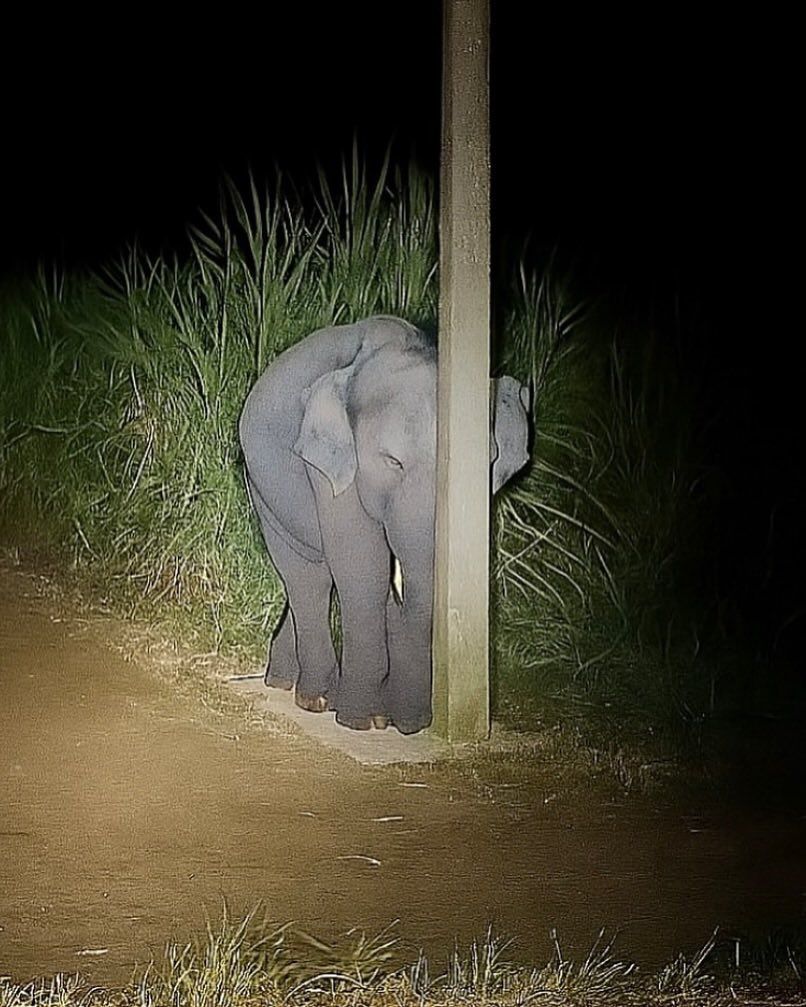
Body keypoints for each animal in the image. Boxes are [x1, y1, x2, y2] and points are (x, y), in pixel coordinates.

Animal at [239, 315, 530, 735]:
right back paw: (314, 698)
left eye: (488, 461)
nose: (413, 725)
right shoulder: (331, 465)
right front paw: (360, 720)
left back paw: (291, 684)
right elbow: (365, 567)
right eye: (393, 462)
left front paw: (390, 718)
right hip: (261, 485)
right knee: (308, 577)